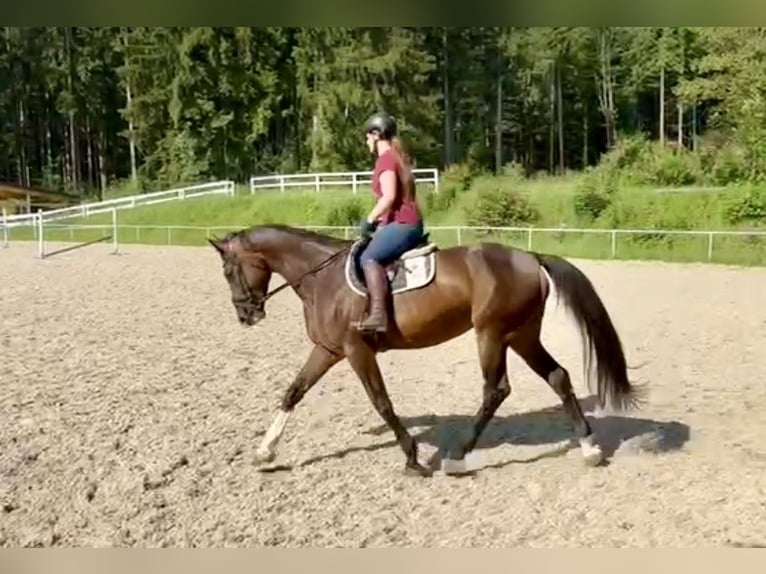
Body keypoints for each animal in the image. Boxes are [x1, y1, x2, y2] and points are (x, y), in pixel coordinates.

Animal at [208, 225, 640, 482]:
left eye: (229, 271)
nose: (246, 315)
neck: (322, 277)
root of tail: (529, 257)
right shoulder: (328, 349)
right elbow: (293, 391)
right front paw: (264, 451)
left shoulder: (355, 350)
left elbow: (382, 402)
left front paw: (414, 459)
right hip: (521, 335)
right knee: (558, 376)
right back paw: (589, 449)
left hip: (492, 334)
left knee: (496, 390)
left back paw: (458, 457)